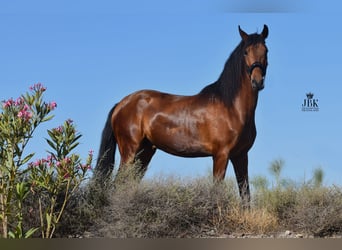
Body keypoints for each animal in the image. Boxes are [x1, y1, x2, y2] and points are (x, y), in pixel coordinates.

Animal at [95, 24, 268, 203]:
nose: (257, 81)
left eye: (265, 50)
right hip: (129, 152)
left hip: (144, 153)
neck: (232, 108)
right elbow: (217, 191)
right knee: (117, 186)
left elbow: (245, 196)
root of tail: (121, 104)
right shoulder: (221, 155)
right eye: (246, 52)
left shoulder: (241, 156)